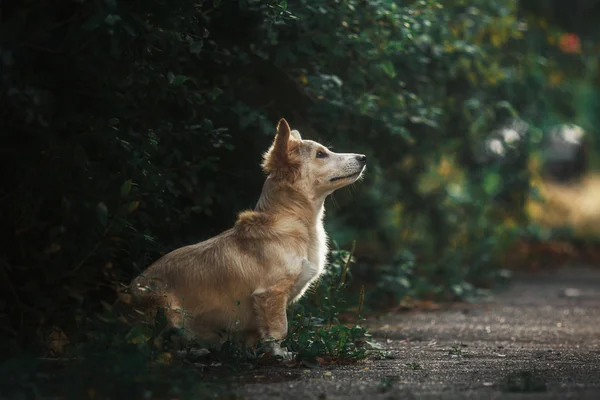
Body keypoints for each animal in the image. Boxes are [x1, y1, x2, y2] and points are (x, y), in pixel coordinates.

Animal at [127, 119, 366, 356]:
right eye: (321, 154)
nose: (363, 157)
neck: (293, 219)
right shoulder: (271, 294)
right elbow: (279, 329)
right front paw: (279, 354)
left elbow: (256, 335)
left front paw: (252, 353)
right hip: (172, 314)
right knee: (158, 346)